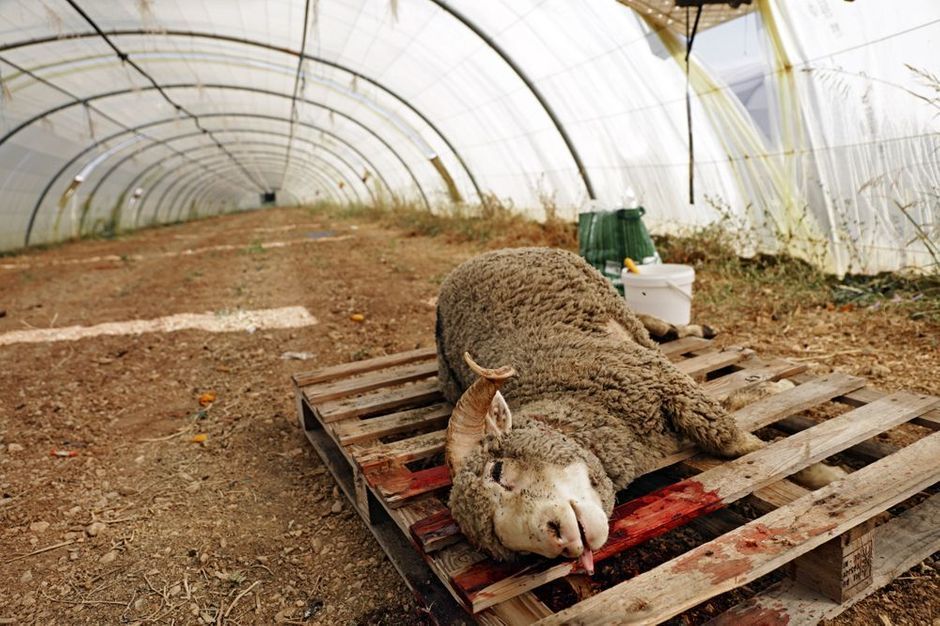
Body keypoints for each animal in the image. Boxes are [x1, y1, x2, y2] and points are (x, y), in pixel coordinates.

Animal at [436, 247, 841, 571]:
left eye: (498, 469)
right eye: (507, 547)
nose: (562, 542)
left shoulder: (668, 386)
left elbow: (741, 443)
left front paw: (825, 473)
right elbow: (737, 414)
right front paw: (779, 391)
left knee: (647, 322)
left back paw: (694, 329)